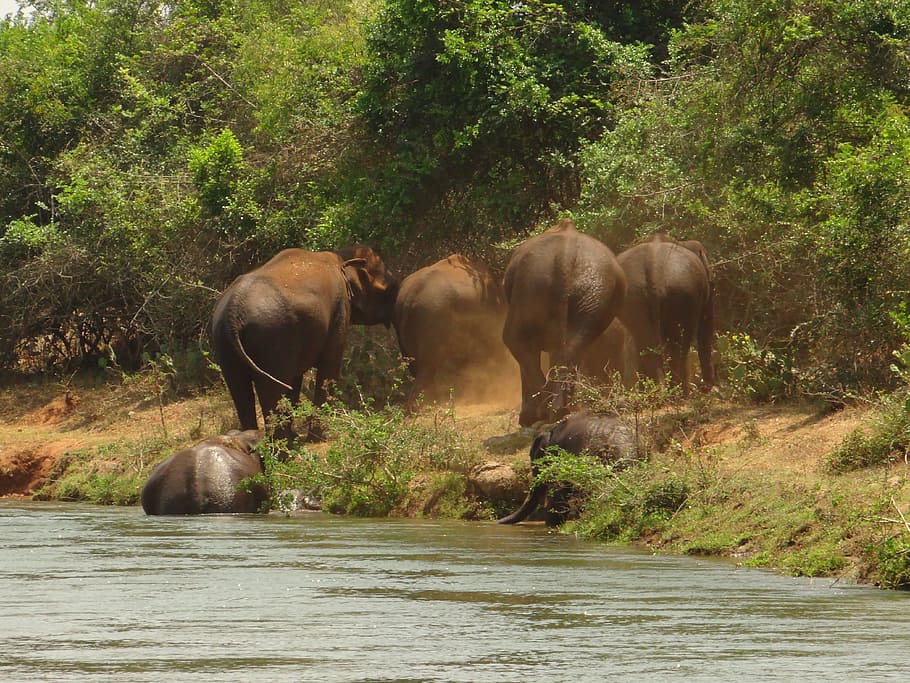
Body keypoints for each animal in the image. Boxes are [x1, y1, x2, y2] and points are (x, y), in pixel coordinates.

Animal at [211, 246, 399, 442]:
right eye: (389, 290)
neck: (342, 258)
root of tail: (233, 312)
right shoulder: (339, 310)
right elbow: (329, 365)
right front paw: (321, 437)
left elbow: (295, 379)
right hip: (270, 336)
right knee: (272, 389)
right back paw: (283, 447)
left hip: (224, 341)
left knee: (241, 389)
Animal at [502, 218, 626, 427]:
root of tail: (565, 257)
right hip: (593, 294)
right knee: (570, 347)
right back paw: (561, 411)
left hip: (531, 288)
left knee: (515, 341)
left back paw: (544, 413)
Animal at [615, 236, 715, 392]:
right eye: (712, 281)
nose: (706, 387)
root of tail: (654, 269)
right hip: (682, 293)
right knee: (679, 345)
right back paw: (680, 391)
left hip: (633, 297)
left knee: (646, 343)